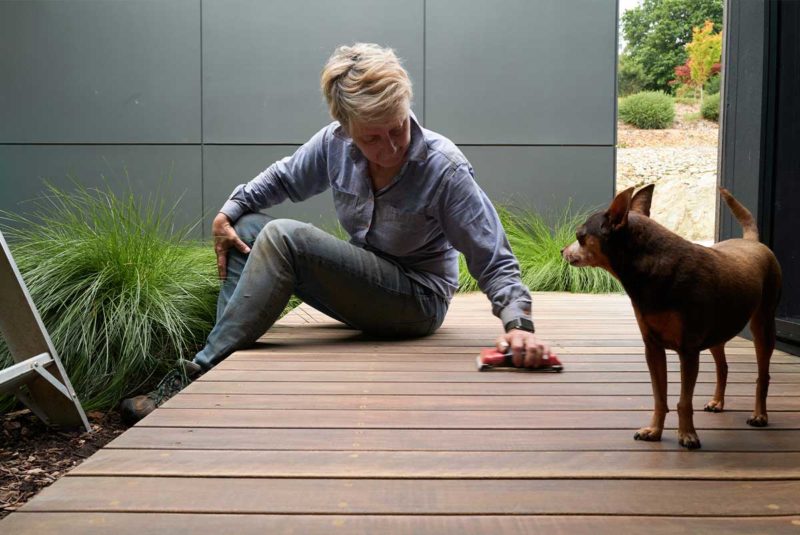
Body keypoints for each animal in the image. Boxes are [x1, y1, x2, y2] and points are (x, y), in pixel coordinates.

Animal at [564, 186, 780, 450]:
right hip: (717, 333)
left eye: (580, 236)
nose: (562, 251)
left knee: (763, 374)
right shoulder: (653, 349)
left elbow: (683, 401)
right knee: (723, 367)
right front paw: (654, 431)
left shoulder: (688, 351)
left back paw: (760, 415)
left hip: (762, 326)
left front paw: (687, 434)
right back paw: (717, 402)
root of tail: (751, 240)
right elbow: (660, 397)